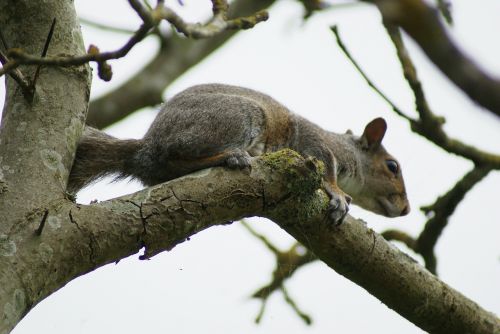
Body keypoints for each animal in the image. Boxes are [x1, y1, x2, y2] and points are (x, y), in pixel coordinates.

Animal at [67, 83, 410, 224]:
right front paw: (338, 193)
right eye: (392, 166)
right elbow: (326, 170)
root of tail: (146, 147)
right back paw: (231, 157)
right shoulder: (315, 144)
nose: (406, 209)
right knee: (175, 155)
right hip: (239, 116)